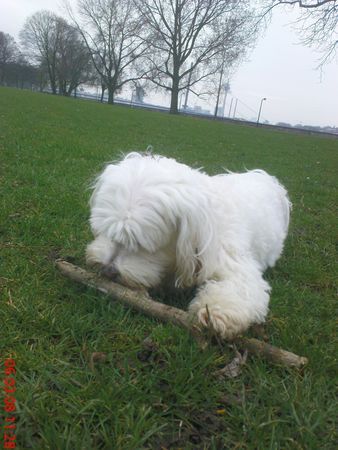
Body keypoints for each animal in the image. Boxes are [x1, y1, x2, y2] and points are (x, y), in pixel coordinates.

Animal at [85, 151, 290, 338]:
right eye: (106, 232)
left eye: (141, 244)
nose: (108, 270)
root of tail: (264, 176)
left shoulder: (234, 263)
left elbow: (241, 288)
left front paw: (214, 312)